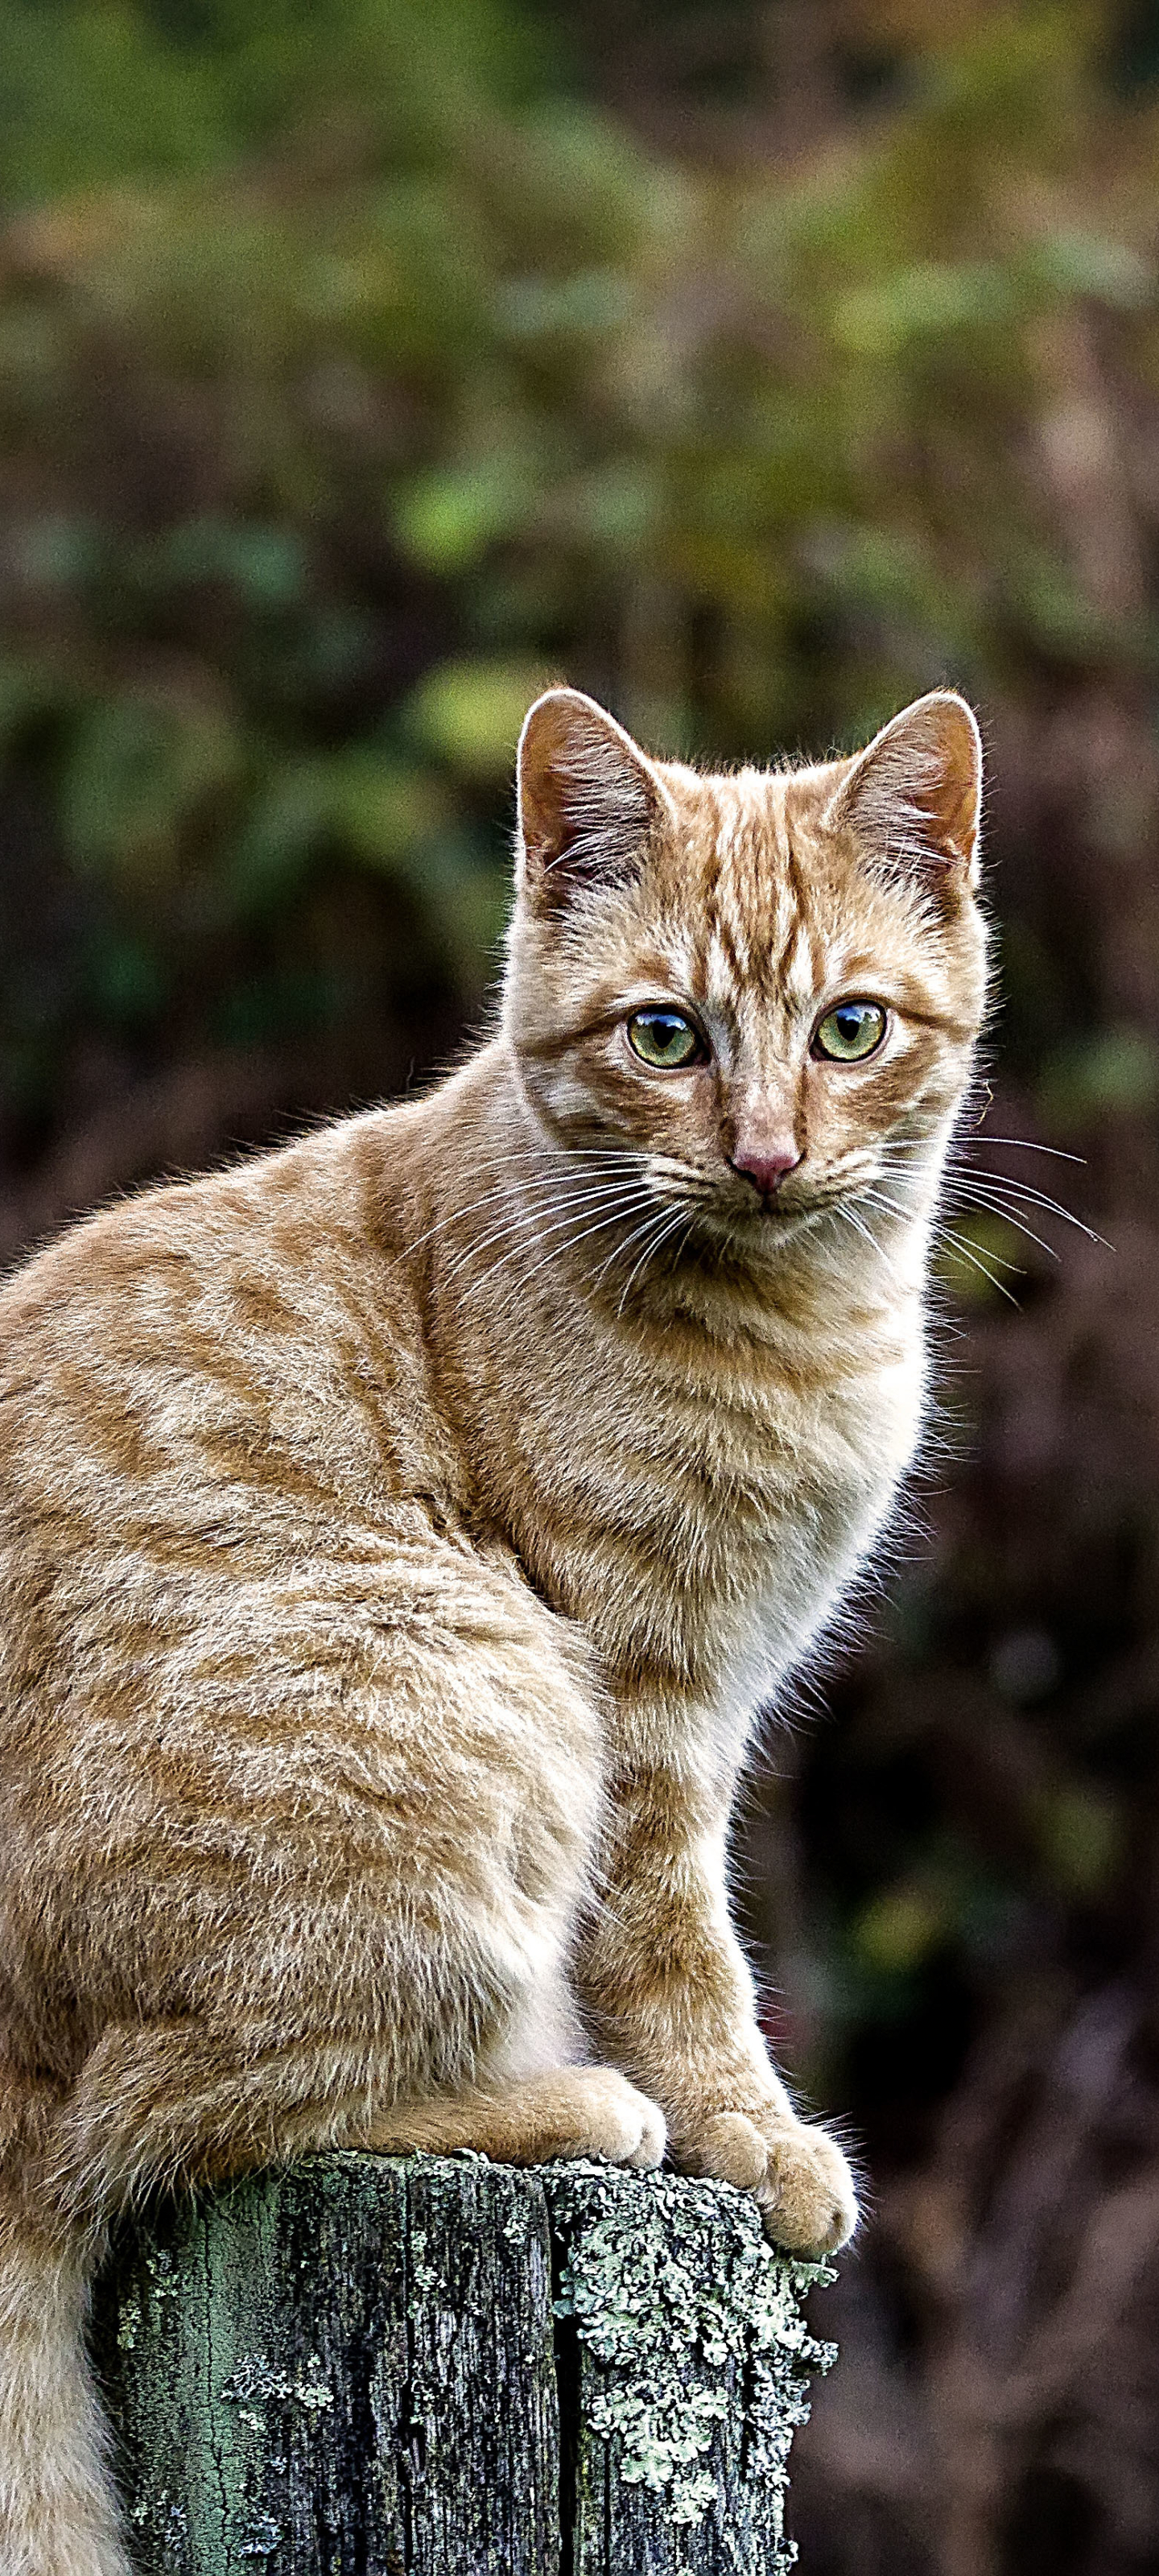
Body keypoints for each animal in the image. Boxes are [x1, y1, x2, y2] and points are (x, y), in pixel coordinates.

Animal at [0, 685, 988, 2576]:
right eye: (666, 1036)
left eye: (849, 1029)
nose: (767, 1154)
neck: (801, 1320)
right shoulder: (648, 1694)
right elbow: (679, 1951)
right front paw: (749, 2132)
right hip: (474, 1682)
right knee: (159, 2124)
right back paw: (574, 2106)